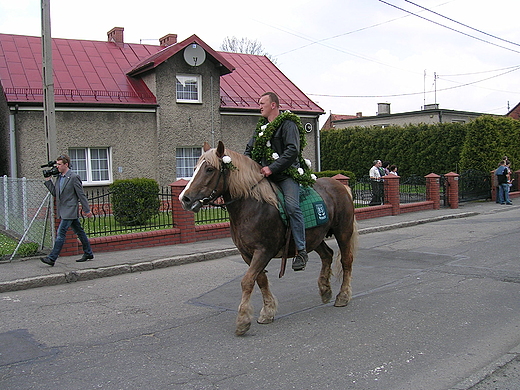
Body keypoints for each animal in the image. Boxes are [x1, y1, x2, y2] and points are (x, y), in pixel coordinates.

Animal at [180, 141, 358, 336]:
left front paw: (243, 320)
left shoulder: (263, 251)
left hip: (343, 232)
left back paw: (343, 296)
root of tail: (340, 186)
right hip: (314, 238)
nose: (185, 199)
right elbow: (260, 280)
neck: (253, 205)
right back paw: (325, 290)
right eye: (195, 168)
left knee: (346, 261)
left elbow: (247, 281)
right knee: (327, 255)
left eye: (210, 169)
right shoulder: (247, 254)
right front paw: (268, 311)